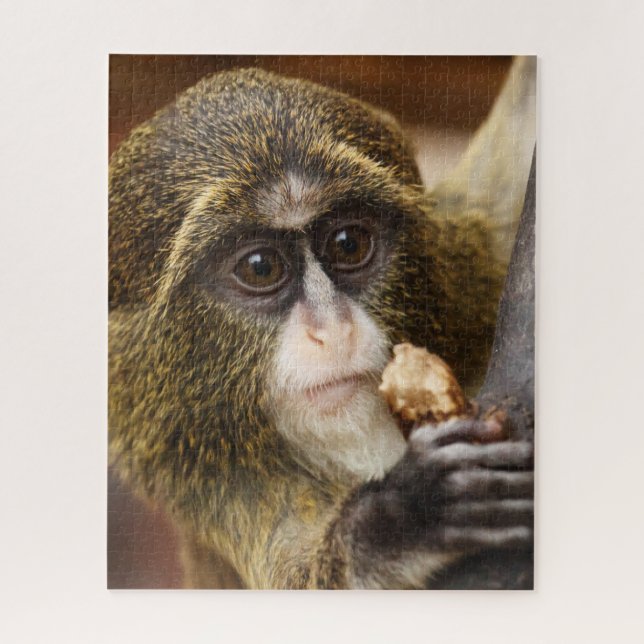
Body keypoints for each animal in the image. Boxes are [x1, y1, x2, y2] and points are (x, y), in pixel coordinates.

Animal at [109, 59, 535, 589]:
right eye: (260, 267)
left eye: (348, 243)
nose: (333, 330)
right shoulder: (209, 479)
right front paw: (406, 513)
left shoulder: (468, 267)